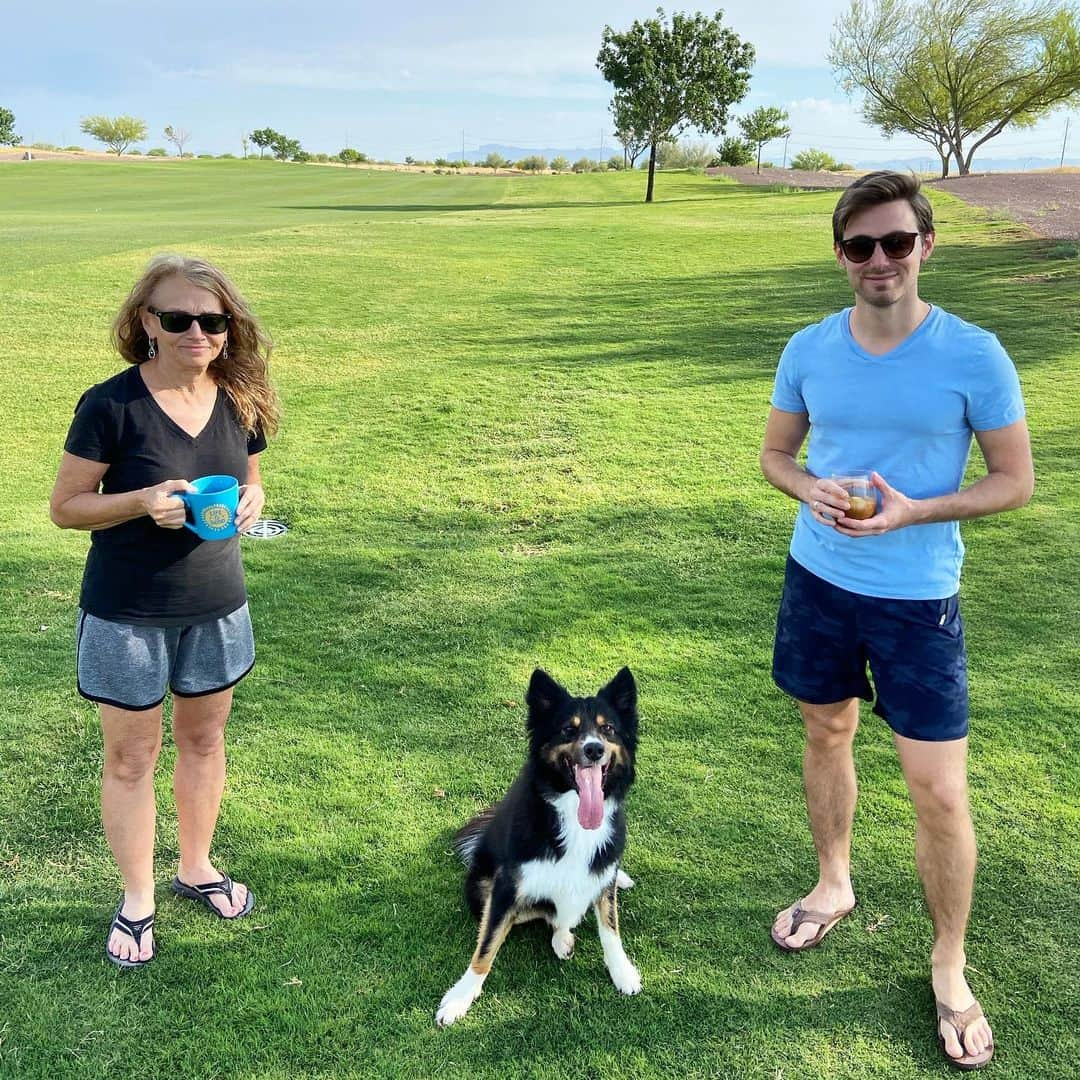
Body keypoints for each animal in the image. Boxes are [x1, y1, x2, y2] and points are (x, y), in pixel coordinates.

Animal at [436, 665, 639, 1028]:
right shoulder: (506, 888)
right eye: (568, 729)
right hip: (481, 888)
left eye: (608, 728)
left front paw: (623, 972)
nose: (594, 749)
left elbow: (610, 927)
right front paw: (459, 997)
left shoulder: (603, 874)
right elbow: (486, 945)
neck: (572, 814)